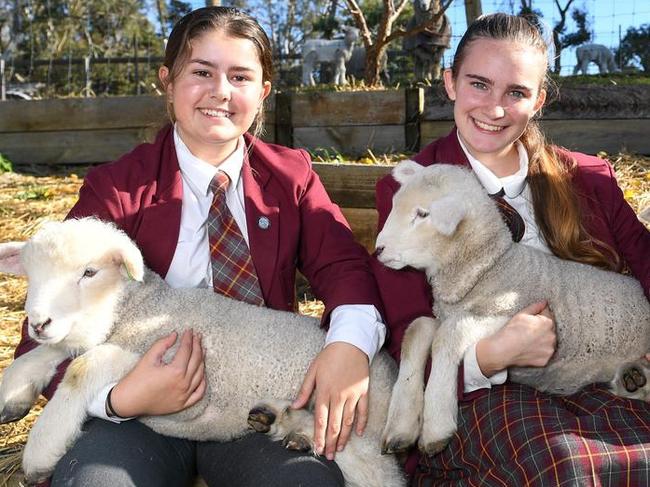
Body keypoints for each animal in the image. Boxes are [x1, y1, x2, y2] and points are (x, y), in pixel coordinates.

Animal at [0, 218, 404, 487]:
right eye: (31, 276)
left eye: (89, 272)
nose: (38, 322)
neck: (138, 310)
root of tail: (390, 367)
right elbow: (50, 353)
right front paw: (13, 393)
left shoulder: (167, 359)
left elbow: (83, 364)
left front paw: (41, 451)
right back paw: (283, 422)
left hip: (357, 433)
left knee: (379, 475)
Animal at [372, 160, 648, 458]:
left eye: (423, 214)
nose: (378, 249)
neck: (490, 267)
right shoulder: (447, 313)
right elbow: (417, 329)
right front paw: (401, 426)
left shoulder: (509, 309)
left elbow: (449, 335)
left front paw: (436, 426)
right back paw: (635, 379)